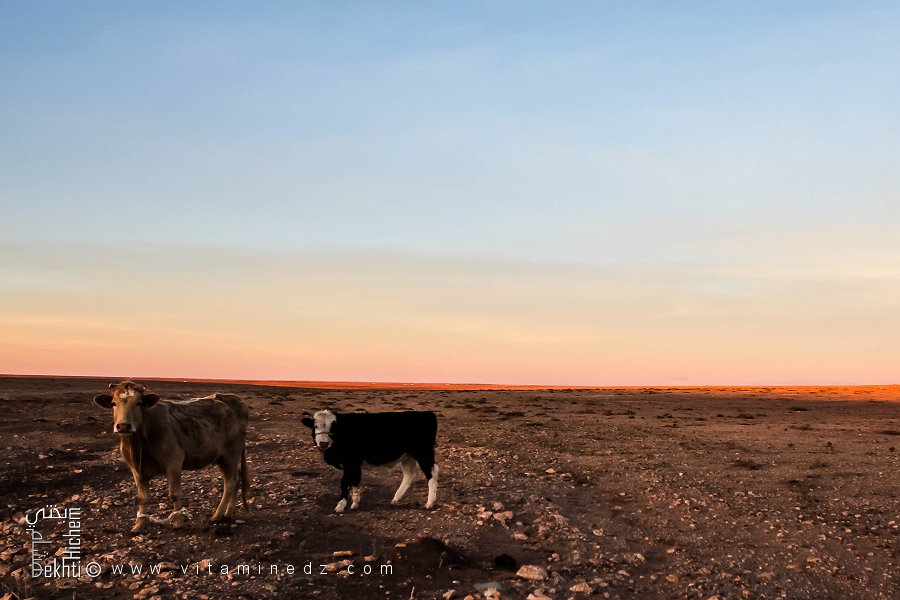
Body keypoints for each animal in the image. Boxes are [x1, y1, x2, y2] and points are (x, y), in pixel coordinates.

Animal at [93, 381, 250, 532]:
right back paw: (228, 513)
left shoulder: (173, 462)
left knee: (231, 482)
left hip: (230, 455)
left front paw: (178, 522)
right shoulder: (136, 469)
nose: (123, 426)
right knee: (236, 479)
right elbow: (142, 497)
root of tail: (234, 399)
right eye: (114, 403)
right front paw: (139, 524)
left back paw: (217, 515)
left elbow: (174, 494)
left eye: (139, 403)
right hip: (223, 458)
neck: (137, 445)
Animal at [301, 410, 439, 513]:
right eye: (315, 426)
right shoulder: (354, 464)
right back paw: (396, 499)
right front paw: (355, 502)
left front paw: (340, 505)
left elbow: (345, 483)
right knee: (409, 474)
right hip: (408, 456)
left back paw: (429, 503)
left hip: (423, 453)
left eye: (333, 427)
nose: (323, 443)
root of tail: (427, 413)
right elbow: (355, 481)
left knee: (432, 473)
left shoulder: (350, 462)